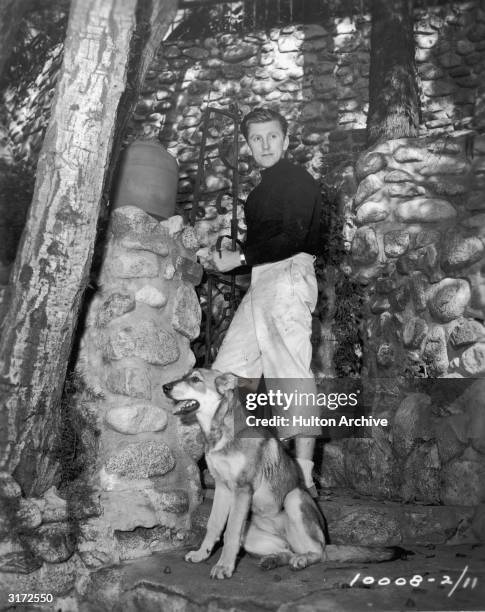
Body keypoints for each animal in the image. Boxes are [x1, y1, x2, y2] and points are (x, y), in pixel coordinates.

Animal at [163, 368, 400, 580]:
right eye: (184, 376)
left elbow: (230, 532)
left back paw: (302, 559)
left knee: (319, 553)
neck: (219, 431)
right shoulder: (222, 488)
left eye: (195, 379)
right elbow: (213, 525)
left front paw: (224, 567)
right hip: (251, 536)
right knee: (288, 551)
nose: (165, 387)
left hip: (294, 499)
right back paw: (274, 560)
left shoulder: (242, 490)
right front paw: (201, 555)